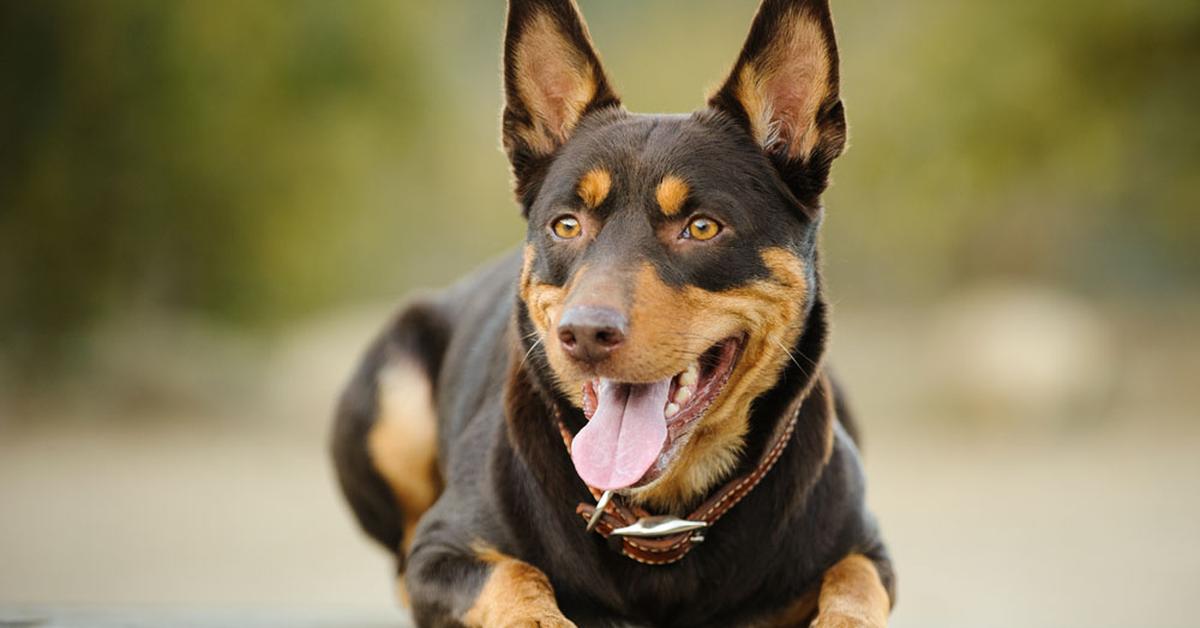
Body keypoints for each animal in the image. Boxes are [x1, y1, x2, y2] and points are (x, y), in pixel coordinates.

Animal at [328, 0, 892, 624]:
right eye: (566, 225)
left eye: (702, 227)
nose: (584, 333)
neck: (659, 515)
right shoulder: (441, 551)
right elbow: (515, 578)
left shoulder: (869, 552)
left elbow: (854, 585)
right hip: (393, 399)